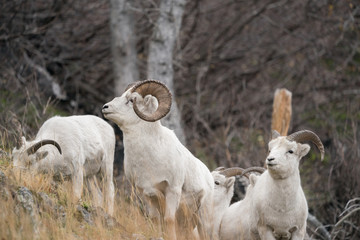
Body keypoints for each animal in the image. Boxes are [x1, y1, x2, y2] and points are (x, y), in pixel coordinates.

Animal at [101, 79, 214, 239]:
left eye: (132, 100)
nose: (105, 107)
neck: (149, 160)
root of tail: (209, 177)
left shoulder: (172, 191)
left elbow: (169, 220)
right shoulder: (147, 194)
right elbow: (155, 220)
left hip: (203, 219)